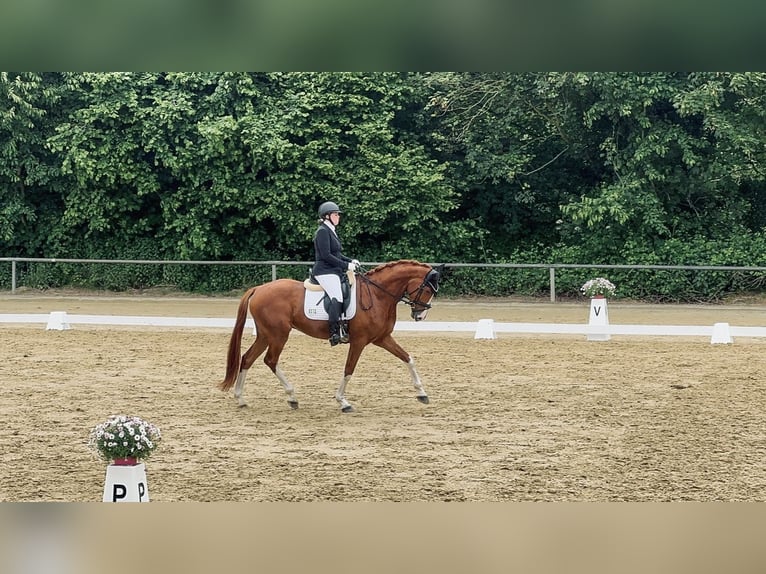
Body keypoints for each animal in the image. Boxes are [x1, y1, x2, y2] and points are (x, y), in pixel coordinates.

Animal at [218, 260, 444, 414]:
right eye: (427, 290)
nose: (420, 316)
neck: (378, 295)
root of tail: (258, 289)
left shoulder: (382, 338)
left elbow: (407, 358)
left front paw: (422, 393)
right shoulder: (359, 341)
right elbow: (349, 369)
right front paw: (343, 402)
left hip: (266, 335)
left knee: (247, 359)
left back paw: (241, 398)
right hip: (278, 335)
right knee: (270, 360)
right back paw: (291, 397)